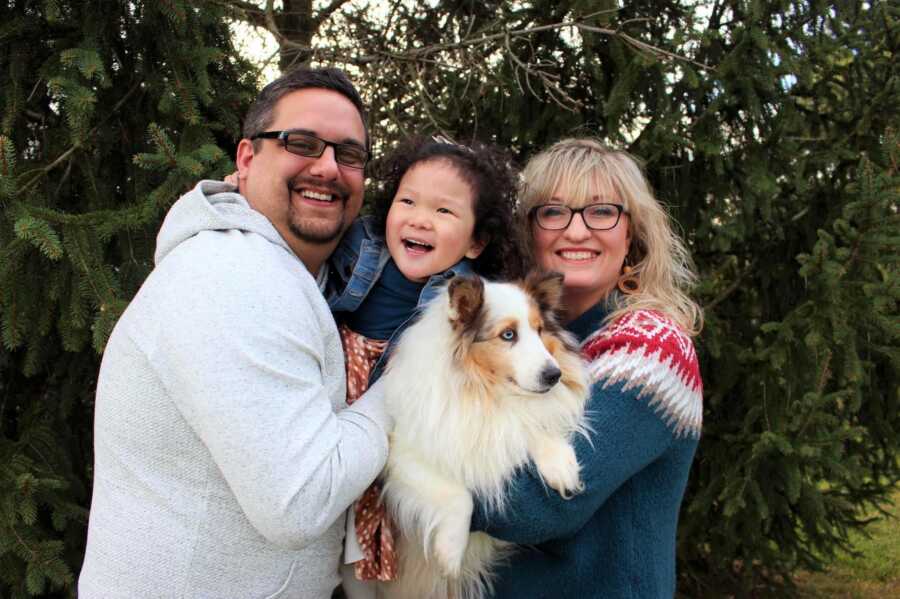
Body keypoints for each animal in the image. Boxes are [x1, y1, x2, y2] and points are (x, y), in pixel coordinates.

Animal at [378, 274, 592, 599]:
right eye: (508, 335)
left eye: (540, 330)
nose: (554, 375)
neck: (483, 390)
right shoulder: (402, 454)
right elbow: (460, 496)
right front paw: (450, 554)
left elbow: (528, 423)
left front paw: (560, 464)